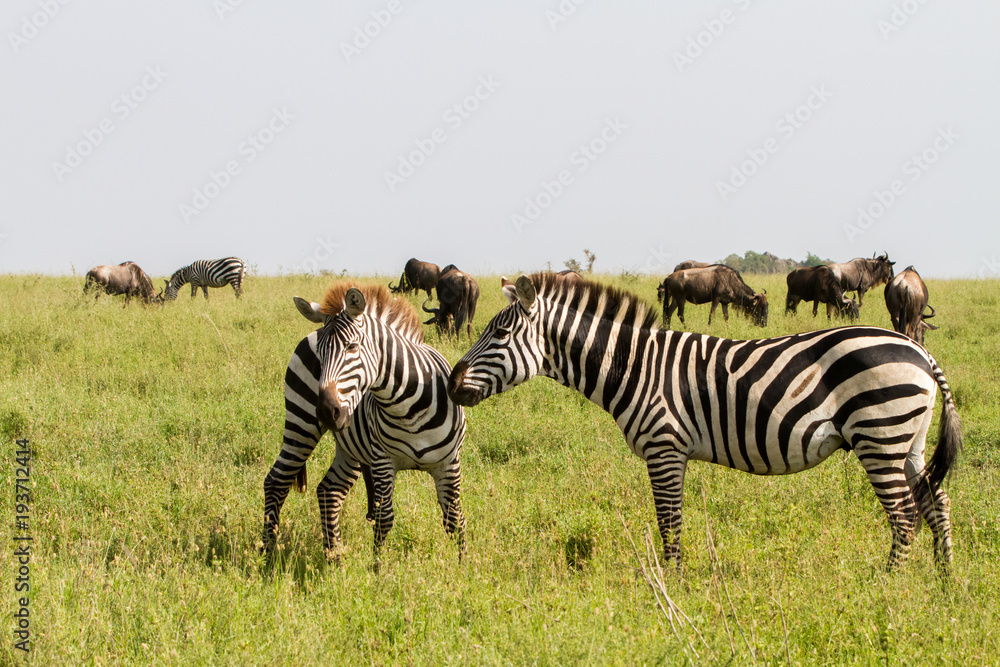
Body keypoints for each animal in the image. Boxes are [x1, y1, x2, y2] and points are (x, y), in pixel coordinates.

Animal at [263, 282, 467, 565]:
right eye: (319, 358)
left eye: (351, 347)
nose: (326, 412)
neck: (409, 409)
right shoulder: (382, 460)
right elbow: (385, 519)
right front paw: (378, 569)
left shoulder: (450, 463)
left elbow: (455, 519)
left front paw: (464, 566)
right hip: (300, 423)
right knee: (276, 481)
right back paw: (266, 555)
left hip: (350, 445)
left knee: (329, 490)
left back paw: (334, 556)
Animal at [448, 273, 961, 572]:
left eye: (500, 334)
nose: (451, 384)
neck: (634, 366)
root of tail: (918, 350)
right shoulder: (671, 451)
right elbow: (671, 519)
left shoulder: (664, 447)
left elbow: (669, 520)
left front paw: (672, 582)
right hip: (909, 442)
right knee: (936, 503)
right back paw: (945, 581)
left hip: (880, 437)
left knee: (905, 516)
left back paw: (889, 585)